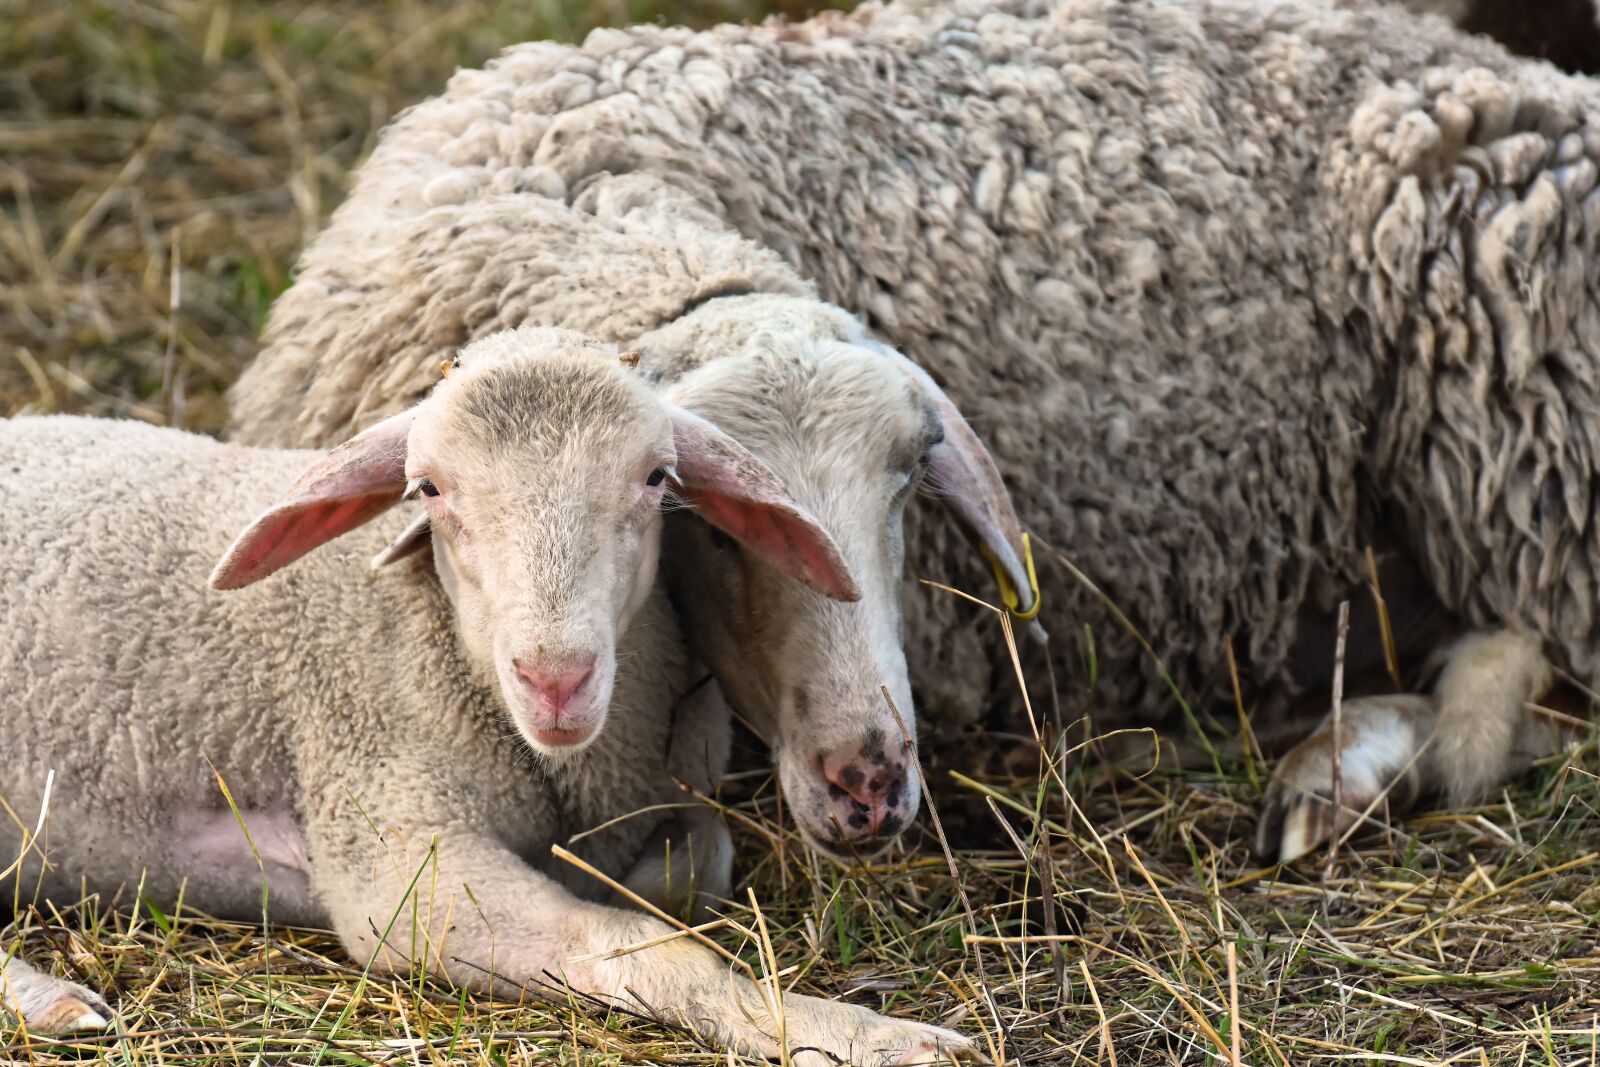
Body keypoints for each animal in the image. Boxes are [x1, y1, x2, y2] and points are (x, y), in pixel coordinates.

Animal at [0, 325, 968, 1064]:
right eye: (428, 488)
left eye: (657, 478)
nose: (555, 676)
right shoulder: (391, 848)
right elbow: (637, 941)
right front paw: (861, 1031)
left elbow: (695, 868)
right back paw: (54, 1002)